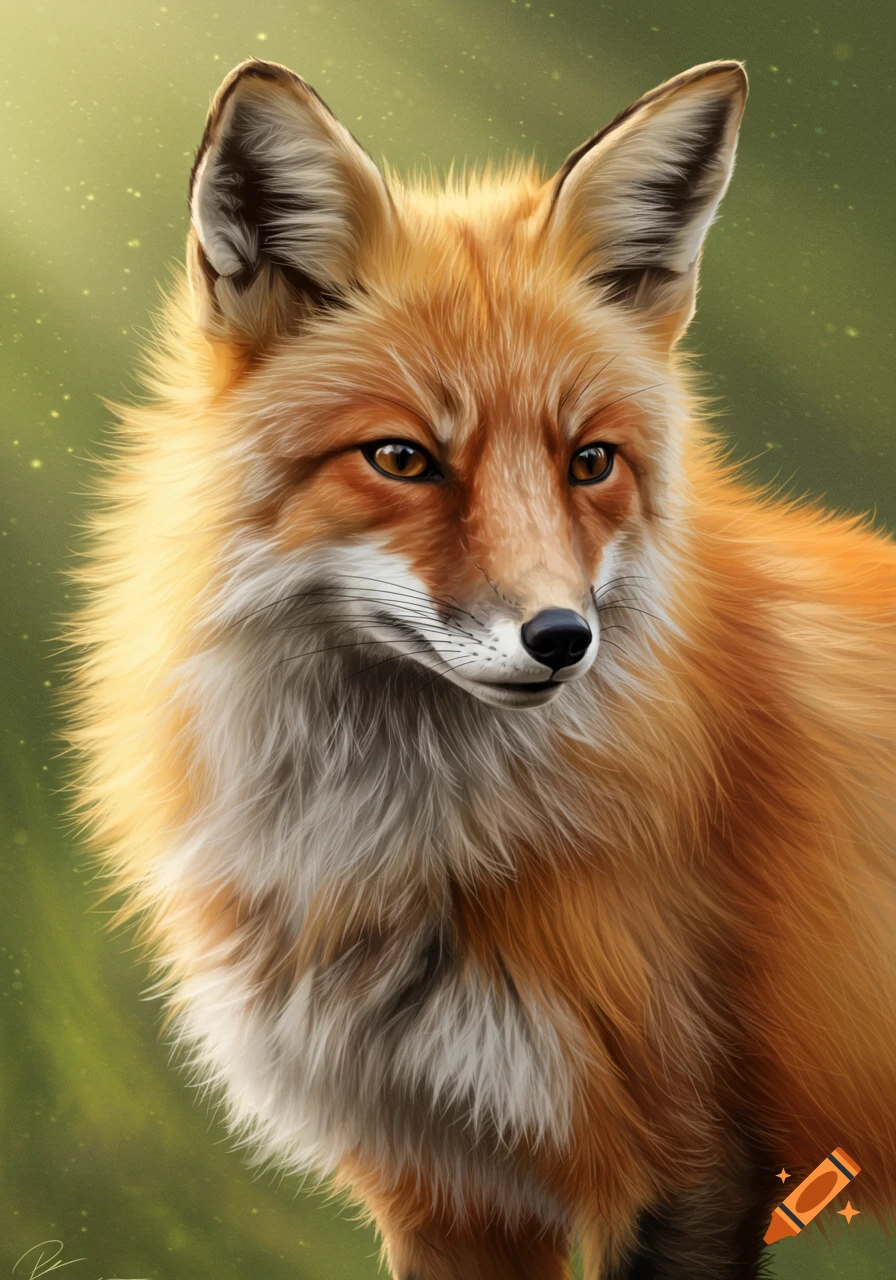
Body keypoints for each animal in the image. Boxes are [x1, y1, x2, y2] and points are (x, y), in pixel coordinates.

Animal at [62, 55, 896, 1279]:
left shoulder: (692, 1162)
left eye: (589, 461)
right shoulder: (441, 1178)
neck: (396, 855)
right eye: (402, 458)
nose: (560, 638)